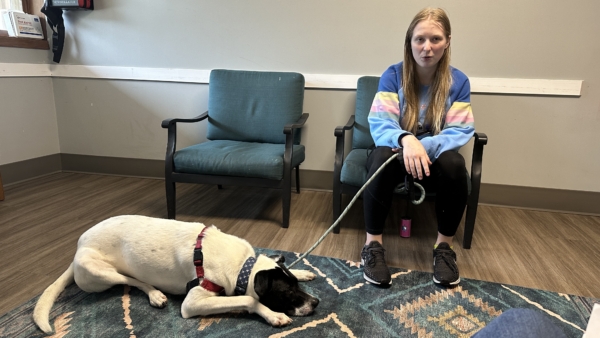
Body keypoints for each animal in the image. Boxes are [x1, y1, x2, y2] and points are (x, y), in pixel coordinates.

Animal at [32, 215, 318, 334]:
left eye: (294, 285)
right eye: (286, 292)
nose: (316, 302)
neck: (242, 266)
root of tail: (77, 249)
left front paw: (303, 270)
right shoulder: (194, 301)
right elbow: (248, 299)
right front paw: (273, 315)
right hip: (99, 271)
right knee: (132, 280)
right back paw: (155, 294)